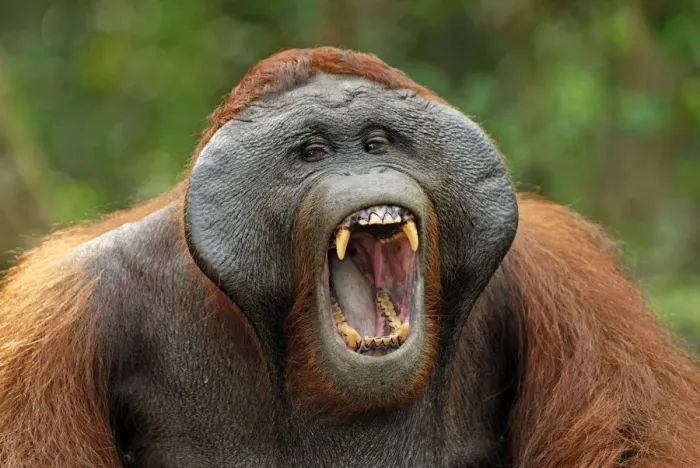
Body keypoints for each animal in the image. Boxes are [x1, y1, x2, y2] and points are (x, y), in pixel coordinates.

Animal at [0, 47, 698, 468]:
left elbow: (638, 443)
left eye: (377, 142)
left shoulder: (575, 285)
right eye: (311, 152)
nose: (360, 167)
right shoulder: (51, 332)